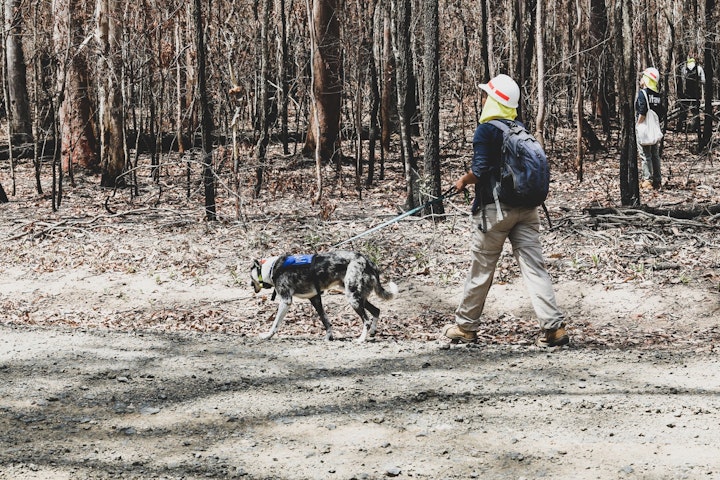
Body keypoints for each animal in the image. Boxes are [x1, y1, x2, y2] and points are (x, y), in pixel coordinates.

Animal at [250, 251, 400, 342]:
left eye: (250, 276)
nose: (250, 284)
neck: (272, 268)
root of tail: (367, 261)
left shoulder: (285, 301)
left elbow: (275, 323)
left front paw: (267, 335)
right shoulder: (315, 299)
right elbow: (325, 321)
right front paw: (329, 337)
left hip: (353, 299)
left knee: (366, 320)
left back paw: (361, 339)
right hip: (359, 298)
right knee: (376, 311)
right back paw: (373, 332)